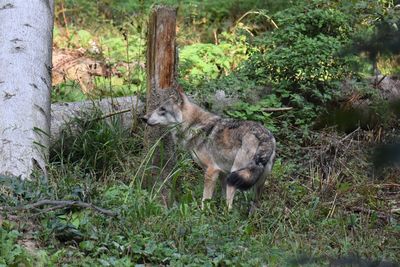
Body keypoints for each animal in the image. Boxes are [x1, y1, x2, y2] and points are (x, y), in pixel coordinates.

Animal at [142, 88, 276, 211]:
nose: (143, 118)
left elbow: (205, 200)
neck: (193, 125)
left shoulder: (212, 171)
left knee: (230, 206)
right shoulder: (222, 173)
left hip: (234, 176)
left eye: (162, 109)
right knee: (254, 205)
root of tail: (265, 137)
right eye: (158, 107)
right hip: (255, 183)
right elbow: (221, 197)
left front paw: (203, 215)